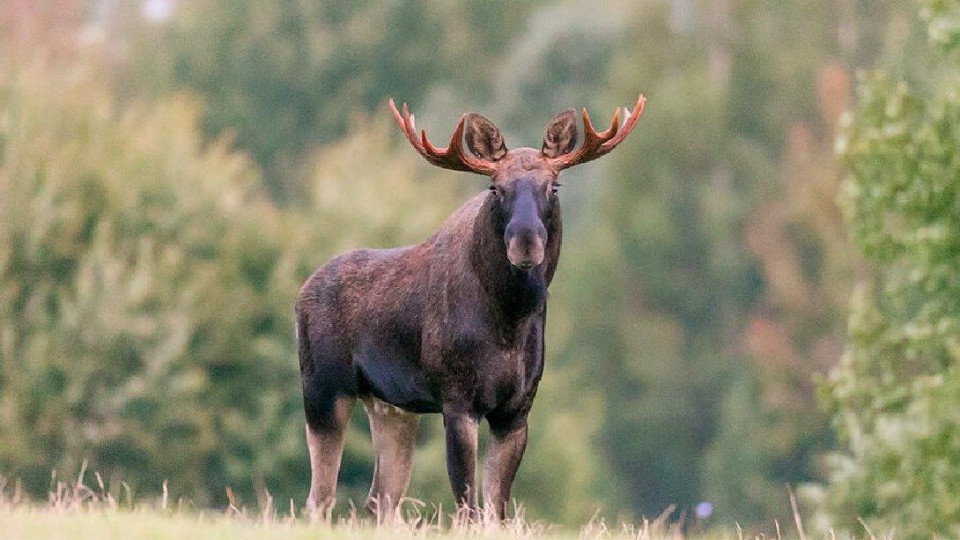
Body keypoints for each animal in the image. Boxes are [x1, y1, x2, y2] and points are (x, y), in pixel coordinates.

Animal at [296, 95, 648, 520]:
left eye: (554, 187)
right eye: (495, 187)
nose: (526, 242)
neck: (510, 321)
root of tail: (301, 292)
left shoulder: (516, 409)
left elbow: (496, 509)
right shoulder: (458, 400)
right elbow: (468, 506)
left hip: (392, 406)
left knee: (380, 498)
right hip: (323, 388)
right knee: (319, 497)